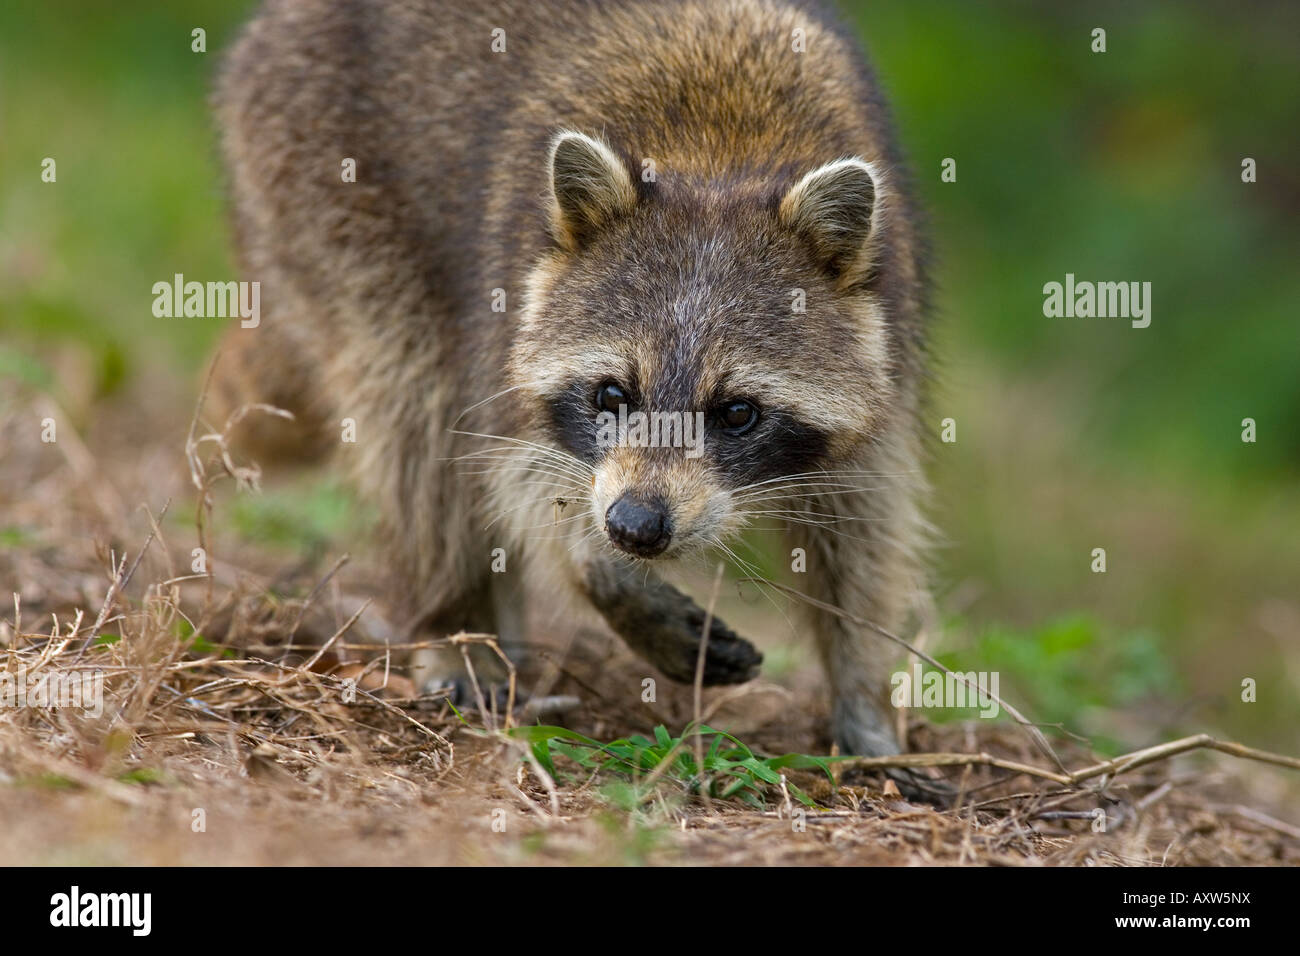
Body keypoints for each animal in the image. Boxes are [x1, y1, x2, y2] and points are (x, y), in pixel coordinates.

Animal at [213, 0, 930, 764]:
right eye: (612, 395)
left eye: (737, 412)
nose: (635, 525)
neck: (718, 157)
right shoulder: (503, 307)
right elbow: (507, 468)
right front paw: (600, 571)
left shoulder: (887, 337)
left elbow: (864, 526)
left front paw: (863, 695)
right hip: (326, 184)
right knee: (412, 418)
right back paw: (454, 621)